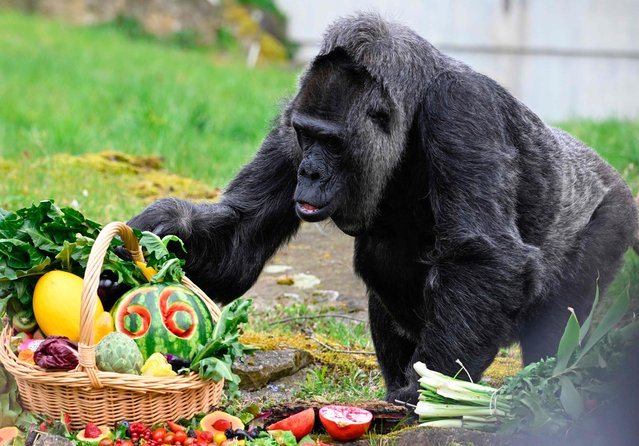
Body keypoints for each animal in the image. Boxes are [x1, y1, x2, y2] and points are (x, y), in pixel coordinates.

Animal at [131, 13, 639, 404]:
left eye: (332, 143)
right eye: (306, 136)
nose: (308, 173)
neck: (412, 108)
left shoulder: (461, 108)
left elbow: (486, 257)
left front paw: (433, 388)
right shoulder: (292, 112)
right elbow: (242, 236)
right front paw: (153, 236)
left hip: (615, 215)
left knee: (560, 318)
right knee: (381, 258)